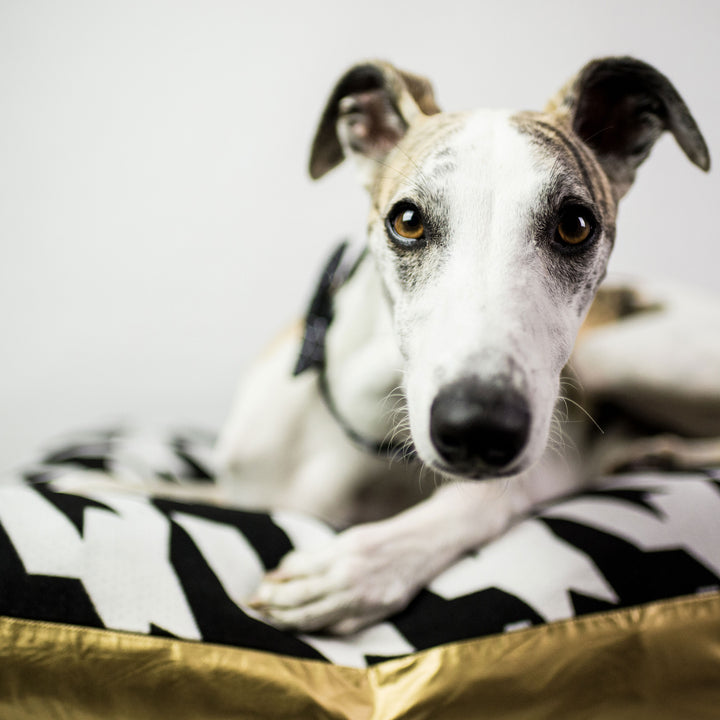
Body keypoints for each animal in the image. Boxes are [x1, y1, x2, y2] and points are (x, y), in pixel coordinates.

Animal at [217, 56, 716, 632]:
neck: (366, 429)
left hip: (618, 359)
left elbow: (483, 499)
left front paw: (350, 569)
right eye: (407, 220)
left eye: (575, 225)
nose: (478, 428)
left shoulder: (555, 456)